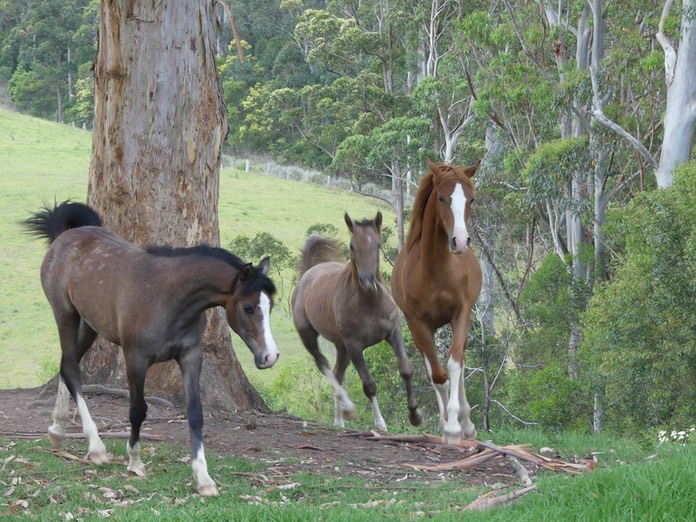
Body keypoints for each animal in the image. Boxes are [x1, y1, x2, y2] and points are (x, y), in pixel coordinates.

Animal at [24, 200, 280, 496]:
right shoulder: (136, 359)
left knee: (67, 365)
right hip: (66, 315)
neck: (169, 297)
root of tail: (66, 236)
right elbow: (138, 410)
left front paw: (203, 478)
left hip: (90, 325)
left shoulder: (190, 357)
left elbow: (195, 413)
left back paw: (57, 429)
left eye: (270, 305)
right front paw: (135, 462)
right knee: (71, 370)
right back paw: (96, 447)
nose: (270, 356)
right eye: (248, 307)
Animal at [288, 212, 418, 430]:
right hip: (310, 336)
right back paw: (347, 409)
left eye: (377, 244)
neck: (369, 301)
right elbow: (369, 384)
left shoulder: (393, 333)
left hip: (341, 347)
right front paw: (380, 423)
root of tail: (308, 273)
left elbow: (406, 369)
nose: (367, 281)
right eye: (352, 245)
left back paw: (339, 420)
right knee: (323, 365)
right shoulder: (355, 346)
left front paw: (415, 414)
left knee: (337, 374)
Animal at [392, 159, 484, 442]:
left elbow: (455, 363)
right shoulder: (419, 324)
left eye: (471, 199)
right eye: (442, 198)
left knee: (460, 365)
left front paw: (458, 425)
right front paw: (448, 426)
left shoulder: (462, 313)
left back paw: (466, 423)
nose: (460, 241)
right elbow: (438, 375)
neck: (436, 270)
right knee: (432, 370)